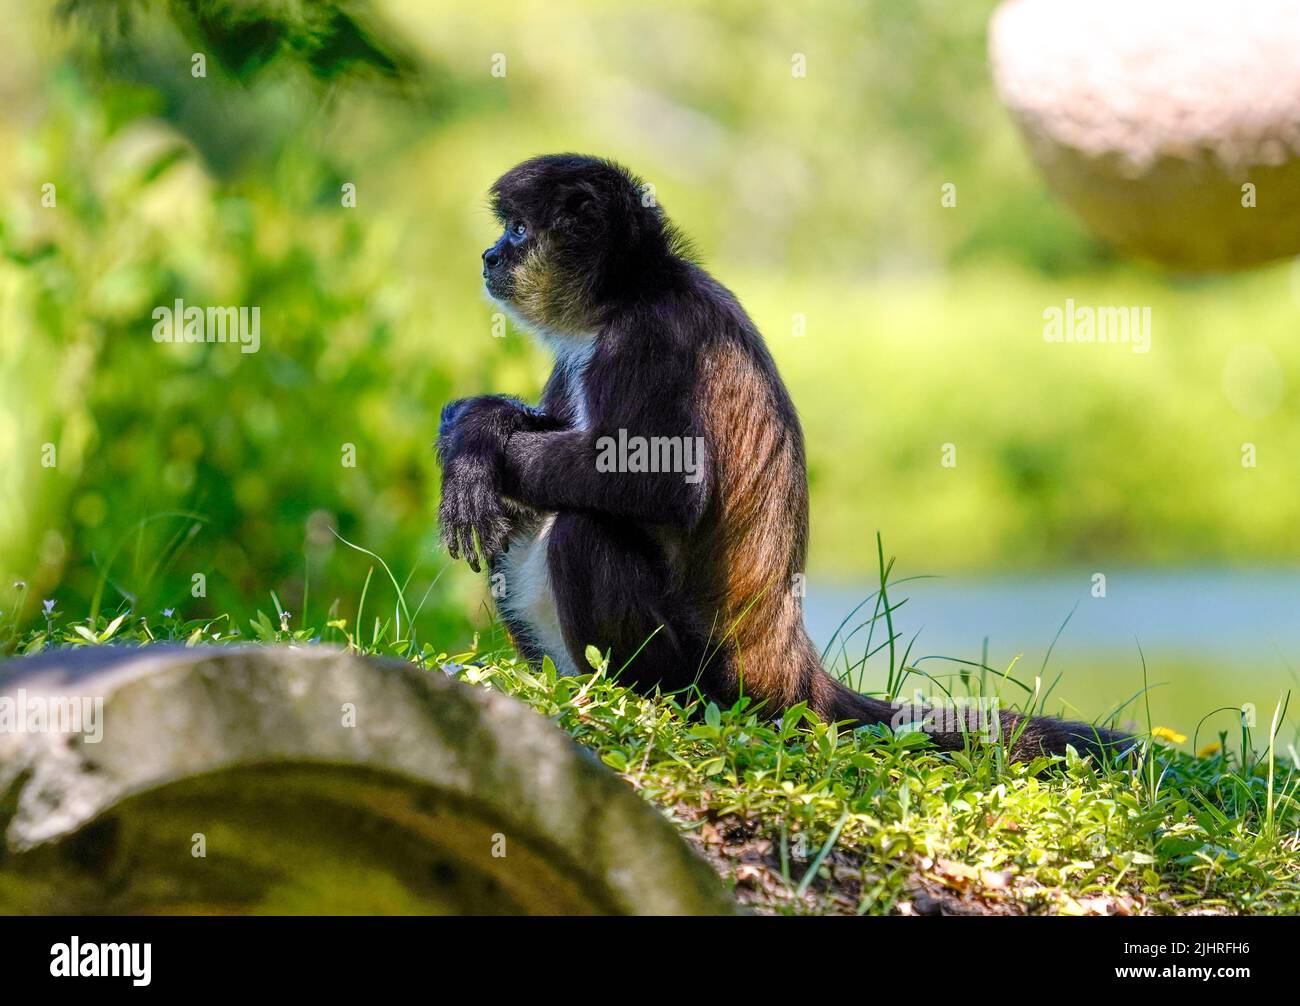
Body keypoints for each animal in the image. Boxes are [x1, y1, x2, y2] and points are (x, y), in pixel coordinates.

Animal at [436, 153, 1128, 759]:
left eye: (517, 231)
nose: (489, 255)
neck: (630, 294)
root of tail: (793, 674)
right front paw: (474, 427)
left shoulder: (653, 337)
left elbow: (662, 485)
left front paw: (475, 442)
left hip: (710, 682)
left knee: (584, 528)